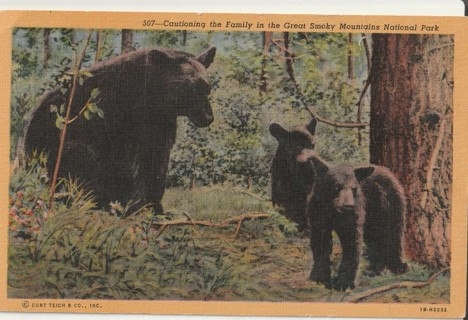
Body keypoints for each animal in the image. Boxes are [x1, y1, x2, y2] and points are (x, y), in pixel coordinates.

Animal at [17, 47, 217, 212]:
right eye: (191, 90)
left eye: (206, 88)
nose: (208, 118)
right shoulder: (126, 119)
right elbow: (134, 162)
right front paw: (137, 206)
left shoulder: (161, 123)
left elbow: (157, 159)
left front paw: (156, 206)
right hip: (56, 148)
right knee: (80, 161)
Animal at [308, 156, 408, 292]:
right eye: (337, 187)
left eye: (354, 188)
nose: (348, 205)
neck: (334, 211)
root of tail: (387, 171)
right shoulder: (317, 212)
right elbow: (320, 242)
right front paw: (318, 277)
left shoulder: (353, 214)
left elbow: (352, 243)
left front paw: (344, 283)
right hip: (372, 217)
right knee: (374, 239)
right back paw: (375, 268)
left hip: (390, 203)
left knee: (394, 231)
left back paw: (398, 266)